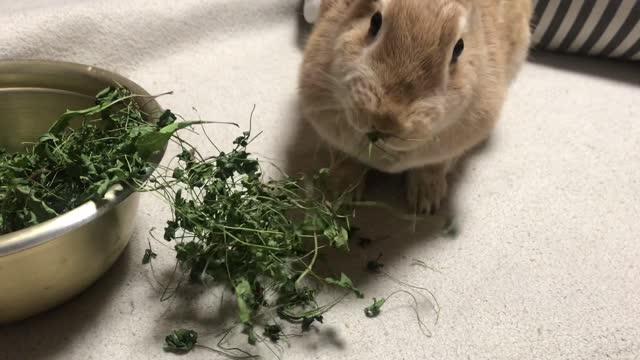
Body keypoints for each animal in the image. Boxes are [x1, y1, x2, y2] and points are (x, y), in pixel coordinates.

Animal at [298, 0, 532, 212]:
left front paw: (426, 203)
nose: (385, 120)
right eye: (375, 21)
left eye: (459, 48)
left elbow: (432, 167)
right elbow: (346, 160)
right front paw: (341, 195)